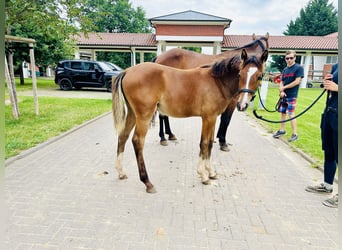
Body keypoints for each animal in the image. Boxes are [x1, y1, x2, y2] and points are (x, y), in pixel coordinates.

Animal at [111, 48, 268, 193]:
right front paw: (203, 175)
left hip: (132, 114)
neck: (217, 82)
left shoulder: (213, 118)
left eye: (259, 76)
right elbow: (204, 143)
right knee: (137, 141)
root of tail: (127, 71)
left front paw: (211, 172)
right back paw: (147, 182)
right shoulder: (208, 118)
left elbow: (210, 143)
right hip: (144, 115)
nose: (242, 105)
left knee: (123, 136)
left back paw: (121, 172)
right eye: (240, 74)